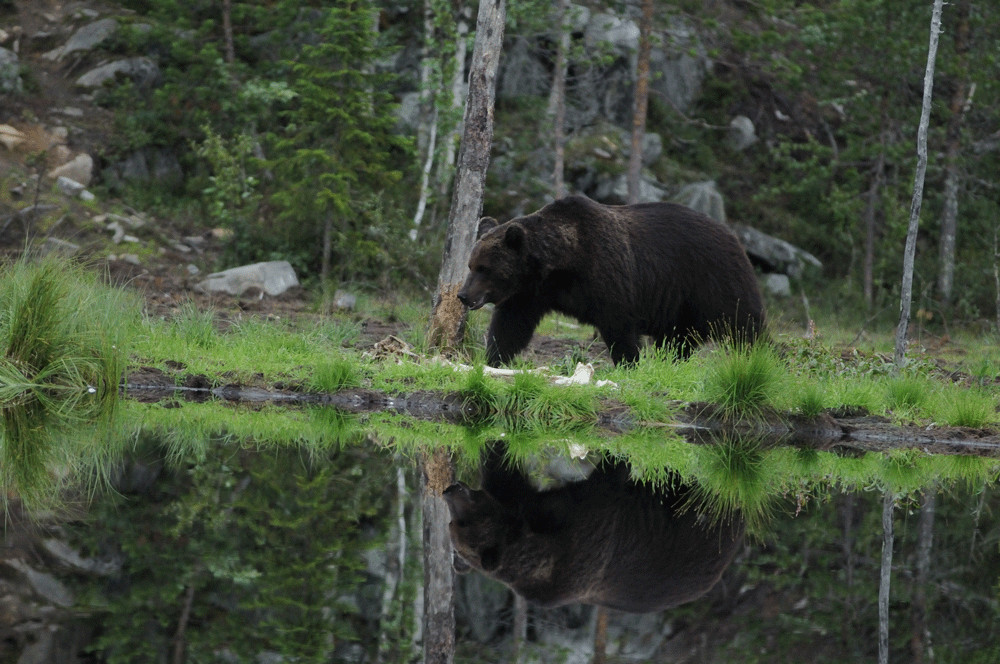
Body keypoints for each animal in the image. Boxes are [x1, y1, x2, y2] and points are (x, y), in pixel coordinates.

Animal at [458, 195, 760, 366]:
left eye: (484, 268)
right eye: (471, 265)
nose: (463, 295)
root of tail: (732, 235)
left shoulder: (608, 277)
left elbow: (620, 328)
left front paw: (629, 364)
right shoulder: (530, 294)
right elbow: (510, 327)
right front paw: (493, 360)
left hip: (712, 281)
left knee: (744, 325)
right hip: (680, 305)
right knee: (677, 340)